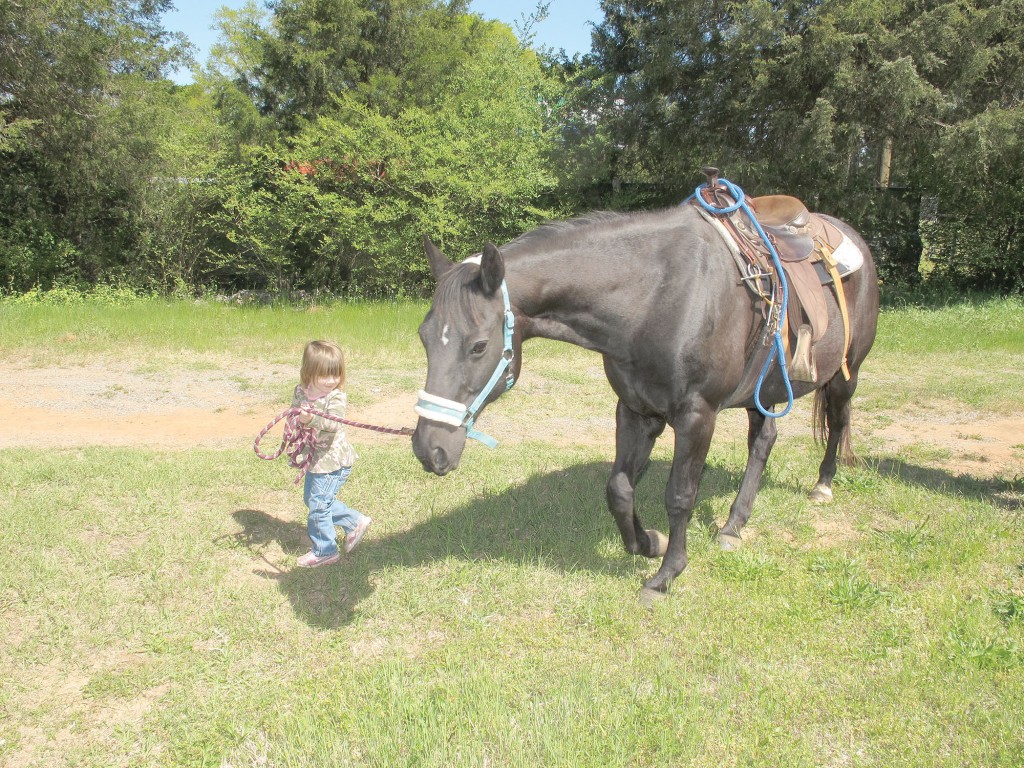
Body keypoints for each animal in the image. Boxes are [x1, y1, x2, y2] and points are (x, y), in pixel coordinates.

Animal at [411, 201, 879, 595]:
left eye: (478, 346)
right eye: (424, 337)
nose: (429, 448)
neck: (654, 298)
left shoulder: (696, 416)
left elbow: (680, 496)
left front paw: (666, 574)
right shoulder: (636, 409)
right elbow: (619, 488)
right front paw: (647, 542)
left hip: (844, 375)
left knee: (837, 423)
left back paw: (821, 486)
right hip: (762, 391)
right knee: (763, 442)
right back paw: (733, 524)